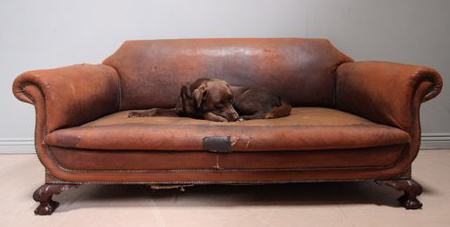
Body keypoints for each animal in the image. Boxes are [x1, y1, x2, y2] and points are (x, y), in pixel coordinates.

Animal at [129, 78, 292, 121]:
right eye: (219, 104)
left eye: (231, 100)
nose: (235, 117)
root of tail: (278, 94)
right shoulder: (178, 111)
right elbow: (155, 108)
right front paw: (137, 113)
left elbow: (204, 113)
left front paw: (218, 118)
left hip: (243, 100)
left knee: (263, 113)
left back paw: (244, 117)